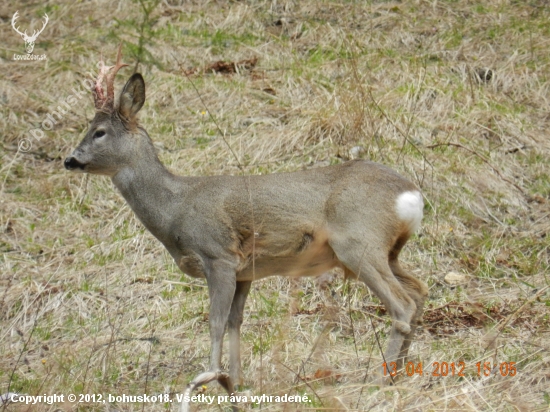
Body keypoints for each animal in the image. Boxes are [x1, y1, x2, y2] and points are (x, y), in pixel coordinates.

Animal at [63, 45, 426, 408]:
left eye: (99, 132)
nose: (69, 160)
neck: (175, 208)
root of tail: (410, 195)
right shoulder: (245, 271)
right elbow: (236, 321)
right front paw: (236, 382)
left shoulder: (217, 256)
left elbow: (215, 322)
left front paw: (209, 381)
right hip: (388, 251)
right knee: (418, 292)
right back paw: (402, 372)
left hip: (358, 242)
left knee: (402, 304)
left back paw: (380, 379)